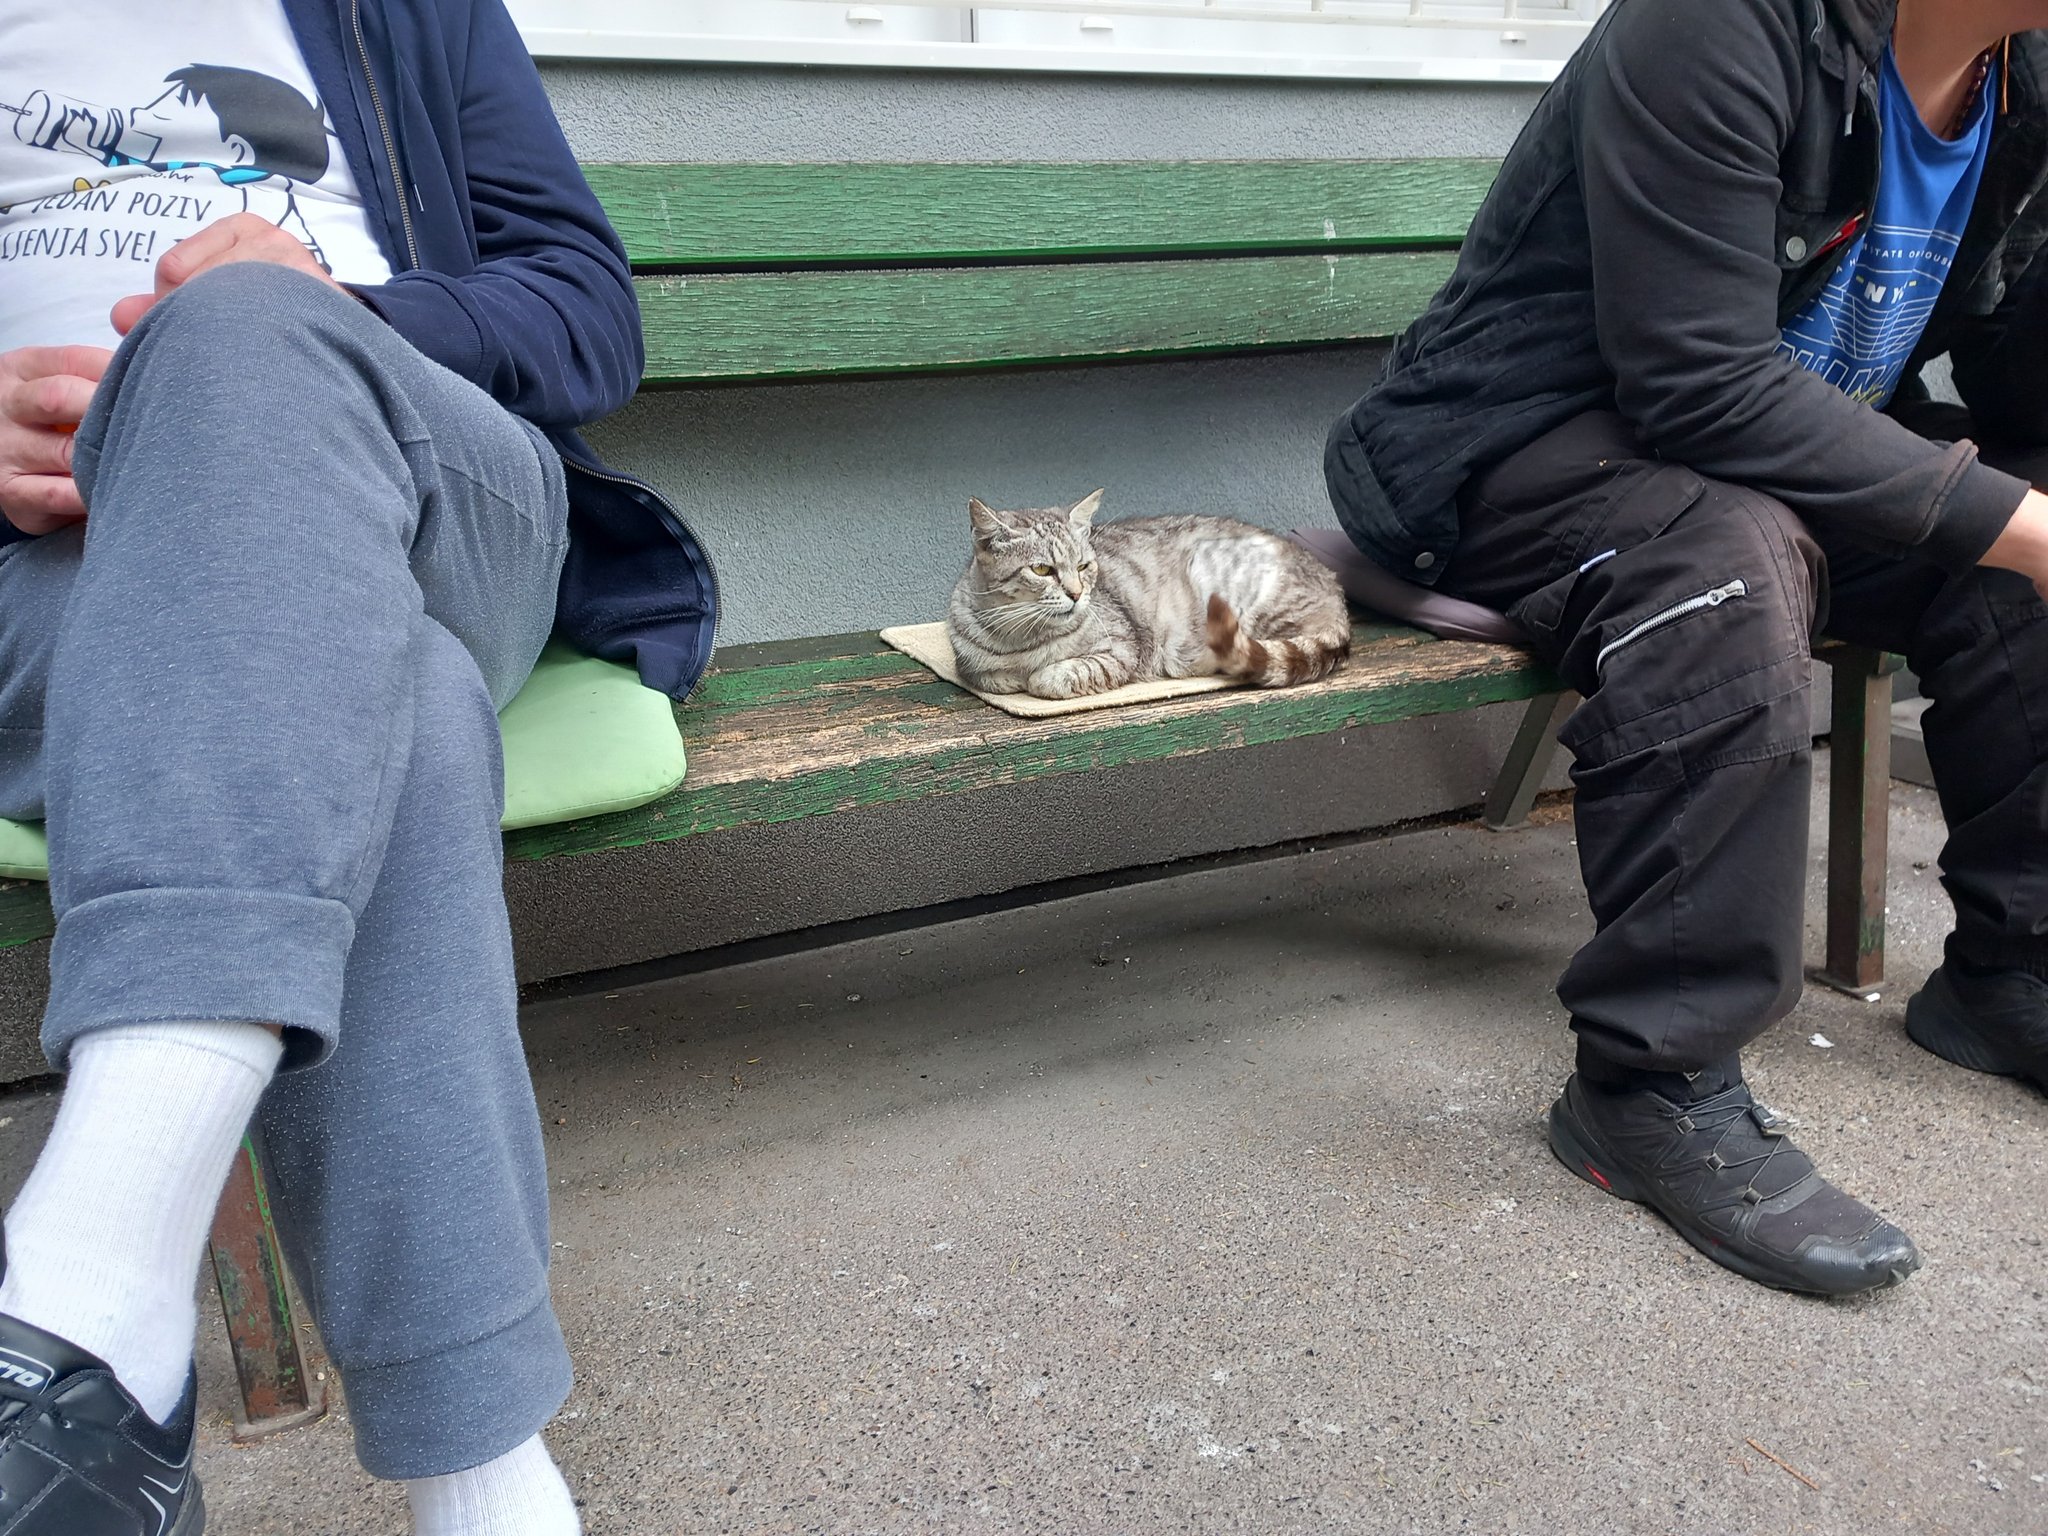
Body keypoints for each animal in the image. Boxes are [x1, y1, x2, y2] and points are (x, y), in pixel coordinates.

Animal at [946, 490, 1352, 700]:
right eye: (1043, 570)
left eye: (1084, 566)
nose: (1077, 594)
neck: (1021, 639)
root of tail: (1331, 583)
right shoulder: (969, 663)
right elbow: (990, 676)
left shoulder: (1123, 650)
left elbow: (1054, 677)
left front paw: (1039, 677)